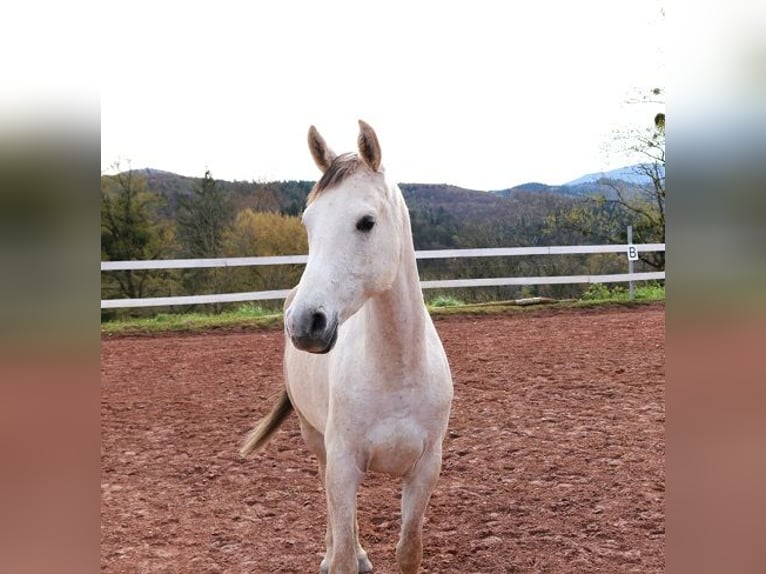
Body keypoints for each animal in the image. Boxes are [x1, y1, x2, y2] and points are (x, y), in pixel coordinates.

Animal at [240, 120, 453, 574]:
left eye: (366, 222)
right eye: (309, 223)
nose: (305, 323)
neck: (397, 371)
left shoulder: (425, 469)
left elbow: (409, 551)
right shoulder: (342, 464)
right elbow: (341, 555)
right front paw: (341, 554)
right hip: (316, 439)